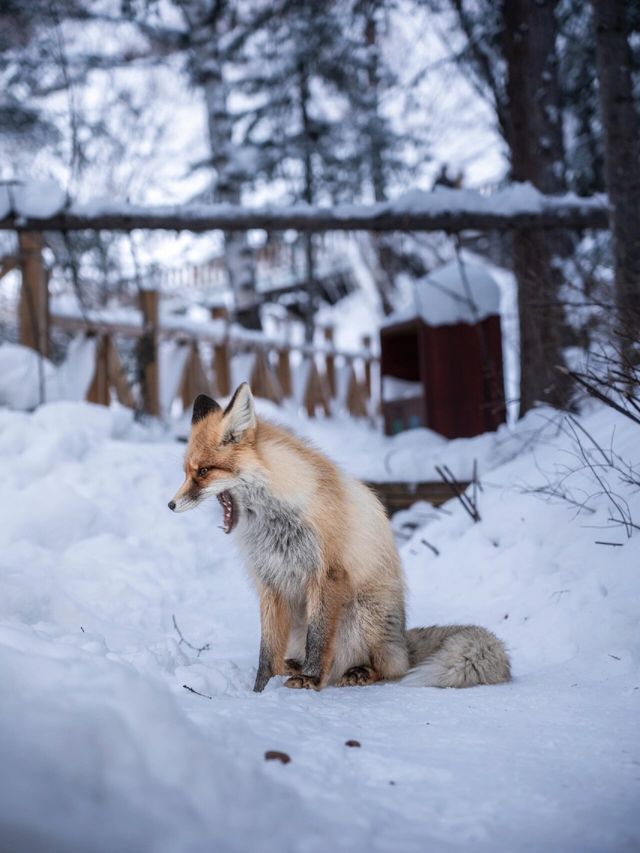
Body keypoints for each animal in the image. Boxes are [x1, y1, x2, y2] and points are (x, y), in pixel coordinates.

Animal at [170, 382, 510, 688]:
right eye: (186, 472)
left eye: (203, 472)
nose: (171, 505)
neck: (277, 519)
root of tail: (403, 641)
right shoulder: (270, 582)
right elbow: (267, 652)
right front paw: (260, 689)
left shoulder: (326, 573)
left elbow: (318, 639)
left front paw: (310, 679)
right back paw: (295, 665)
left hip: (363, 614)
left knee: (390, 668)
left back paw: (357, 672)